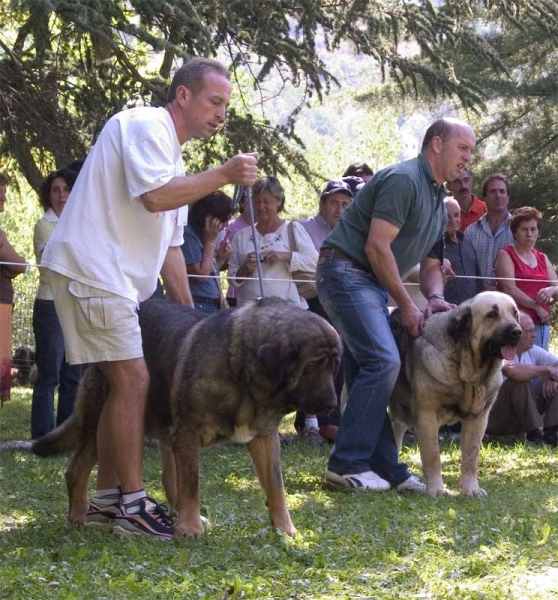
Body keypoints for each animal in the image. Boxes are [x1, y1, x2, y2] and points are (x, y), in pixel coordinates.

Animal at [35, 298, 344, 536]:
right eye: (311, 367)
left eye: (334, 367)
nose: (331, 405)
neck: (240, 369)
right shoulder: (189, 434)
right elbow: (192, 484)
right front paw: (190, 528)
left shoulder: (264, 438)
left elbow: (276, 487)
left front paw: (285, 530)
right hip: (104, 421)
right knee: (76, 470)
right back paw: (78, 516)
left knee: (168, 478)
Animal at [392, 292, 524, 496]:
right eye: (492, 314)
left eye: (515, 313)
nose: (517, 332)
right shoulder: (427, 415)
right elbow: (432, 455)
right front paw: (437, 489)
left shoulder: (478, 419)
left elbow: (471, 456)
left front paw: (471, 489)